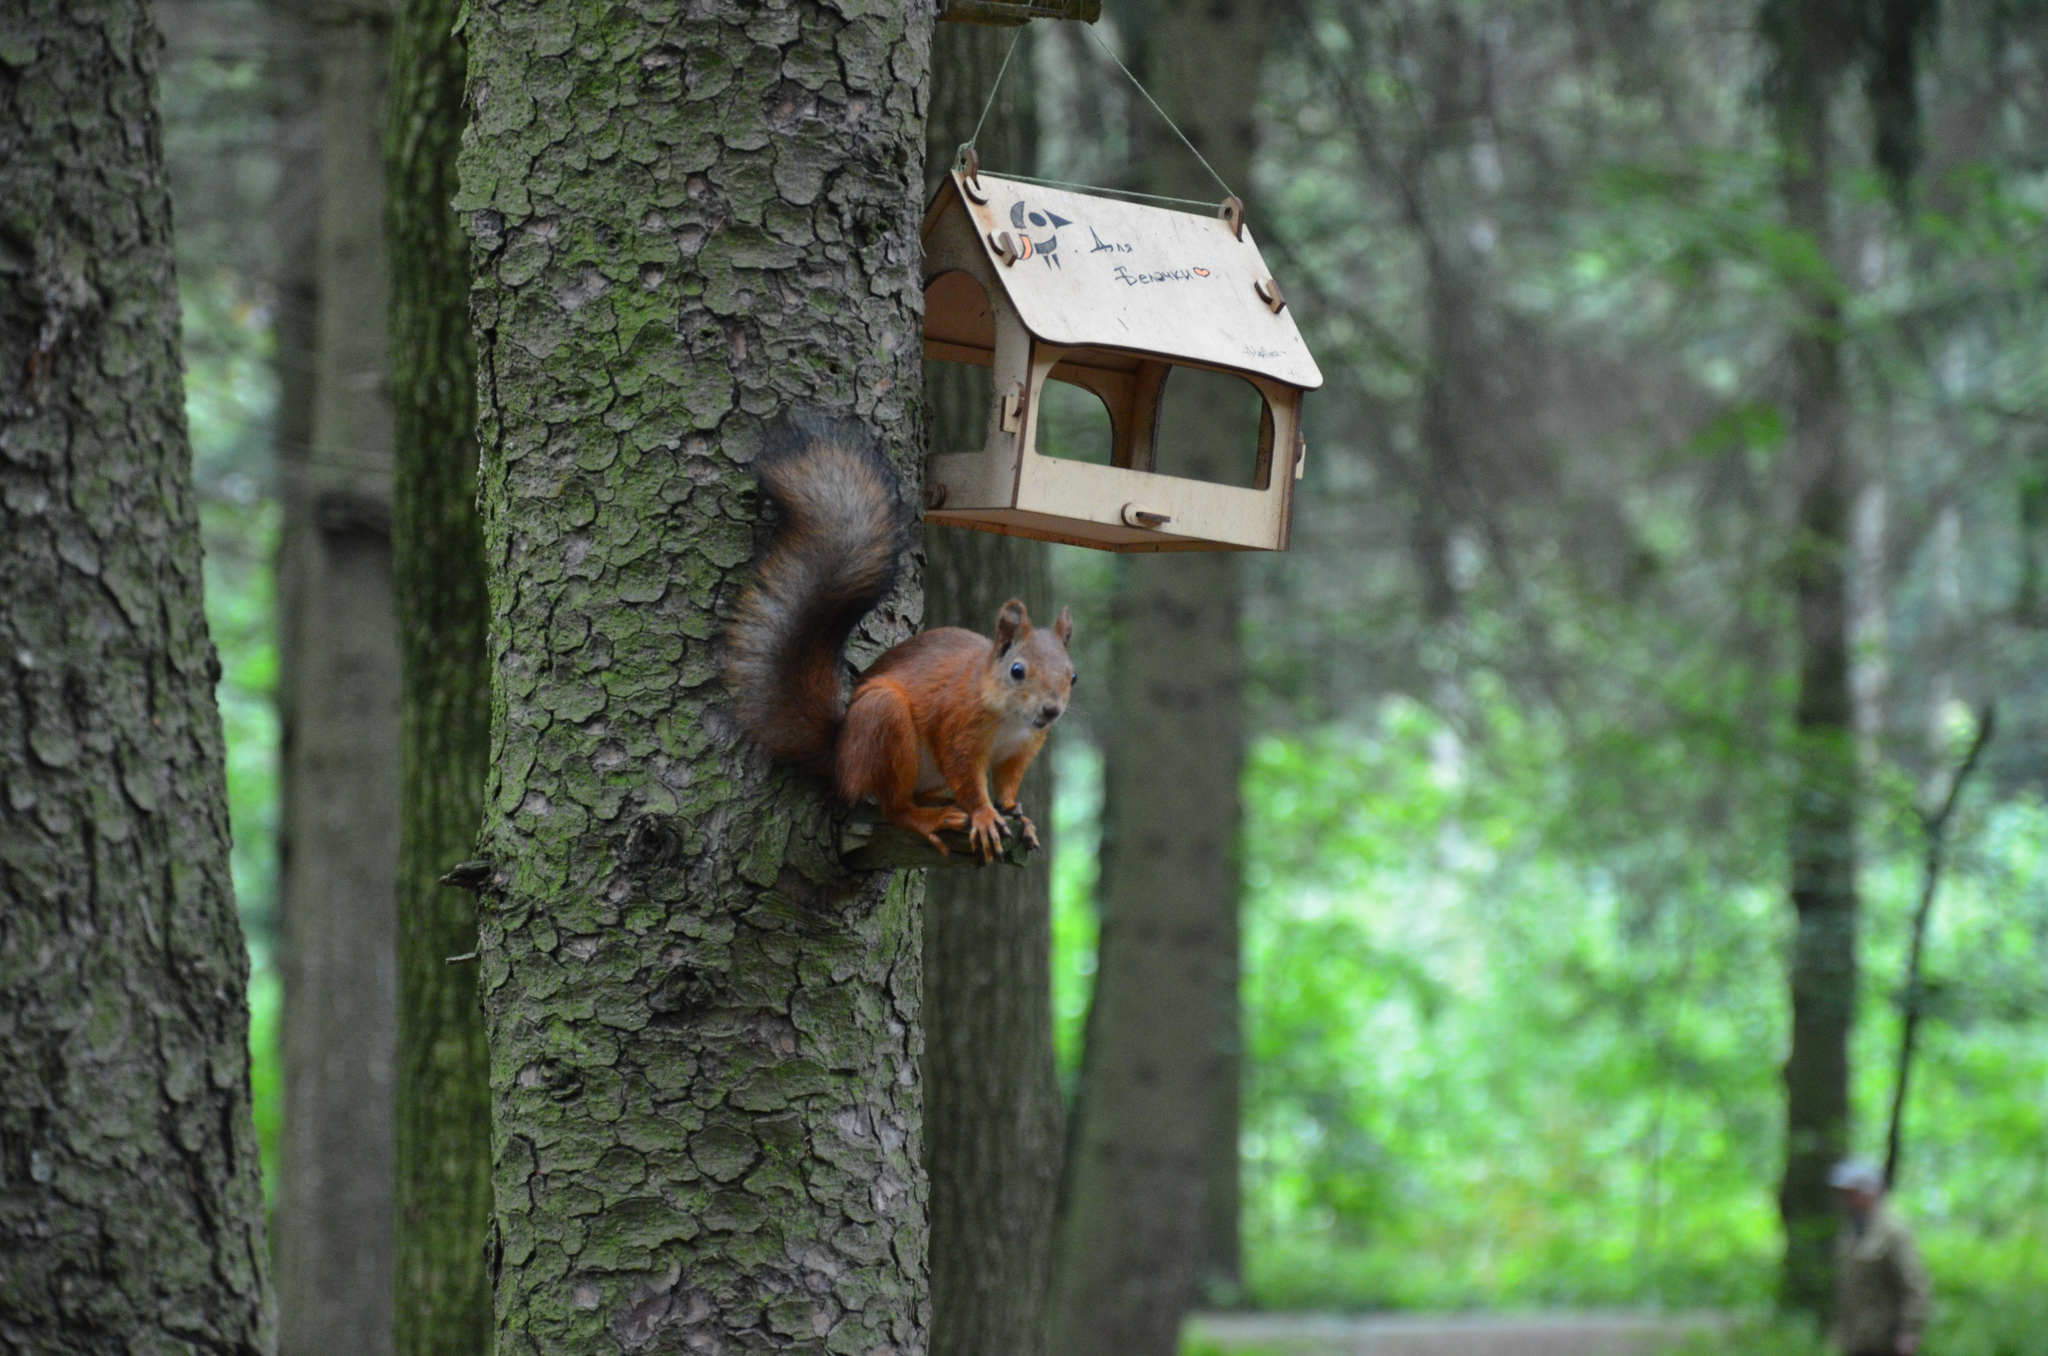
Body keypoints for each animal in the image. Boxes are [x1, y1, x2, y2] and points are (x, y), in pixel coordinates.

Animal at [724, 419, 1081, 860]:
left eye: (1073, 676)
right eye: (1017, 670)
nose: (1051, 711)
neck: (1011, 719)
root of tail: (840, 759)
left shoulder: (1023, 748)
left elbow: (1009, 786)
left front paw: (1018, 813)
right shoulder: (957, 728)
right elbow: (967, 777)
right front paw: (984, 815)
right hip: (884, 722)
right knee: (893, 806)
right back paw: (928, 817)